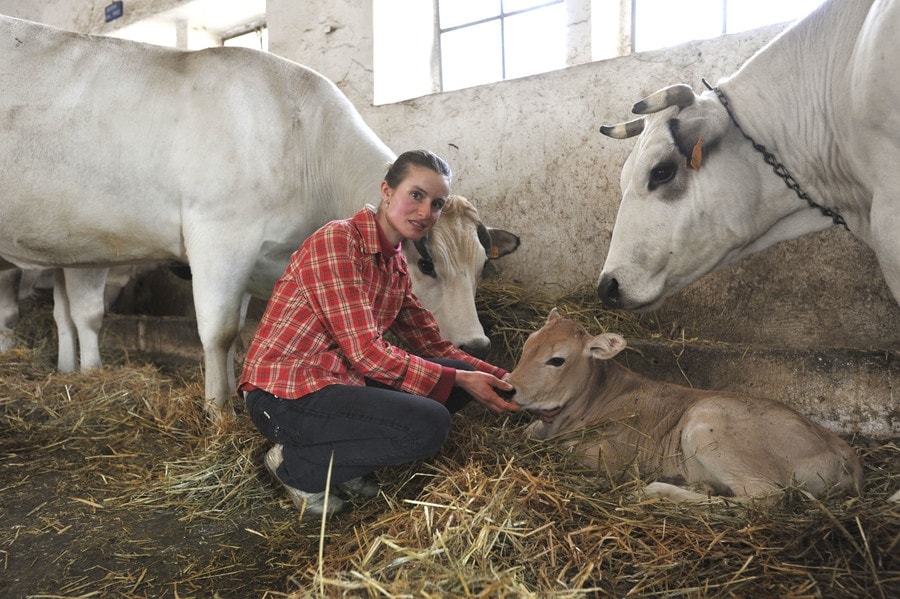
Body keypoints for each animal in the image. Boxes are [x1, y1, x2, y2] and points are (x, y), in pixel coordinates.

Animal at [506, 312, 864, 504]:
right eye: (527, 344)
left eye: (557, 359)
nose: (510, 386)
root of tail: (843, 450)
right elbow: (527, 433)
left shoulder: (610, 456)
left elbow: (563, 452)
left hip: (707, 426)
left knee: (764, 497)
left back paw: (657, 489)